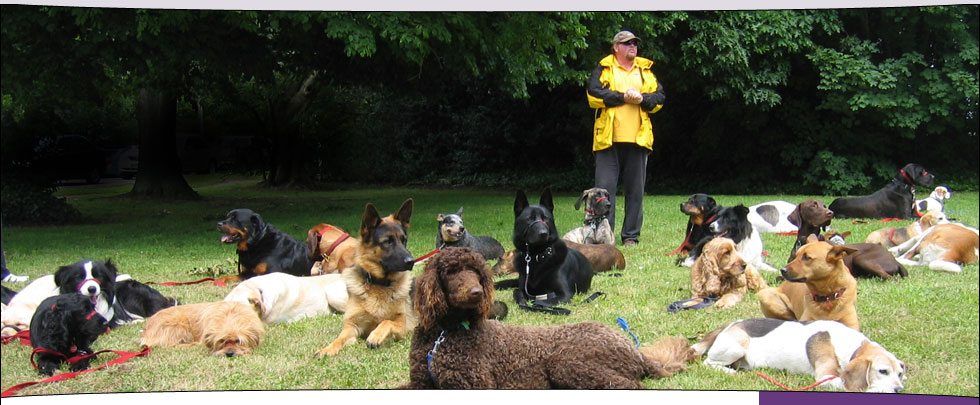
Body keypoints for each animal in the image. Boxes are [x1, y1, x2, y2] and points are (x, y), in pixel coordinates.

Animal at [138, 300, 266, 356]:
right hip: (178, 323)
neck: (230, 315)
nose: (229, 354)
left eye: (238, 341)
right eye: (222, 341)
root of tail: (146, 330)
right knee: (169, 344)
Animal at [402, 246, 692, 388]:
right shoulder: (420, 384)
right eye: (451, 271)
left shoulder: (476, 384)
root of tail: (633, 350)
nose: (476, 293)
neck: (444, 334)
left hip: (567, 364)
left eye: (477, 271)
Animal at [692, 318, 908, 392]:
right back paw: (729, 372)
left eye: (899, 373)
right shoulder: (825, 377)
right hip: (736, 347)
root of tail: (729, 325)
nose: (900, 390)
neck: (851, 347)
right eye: (882, 371)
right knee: (708, 363)